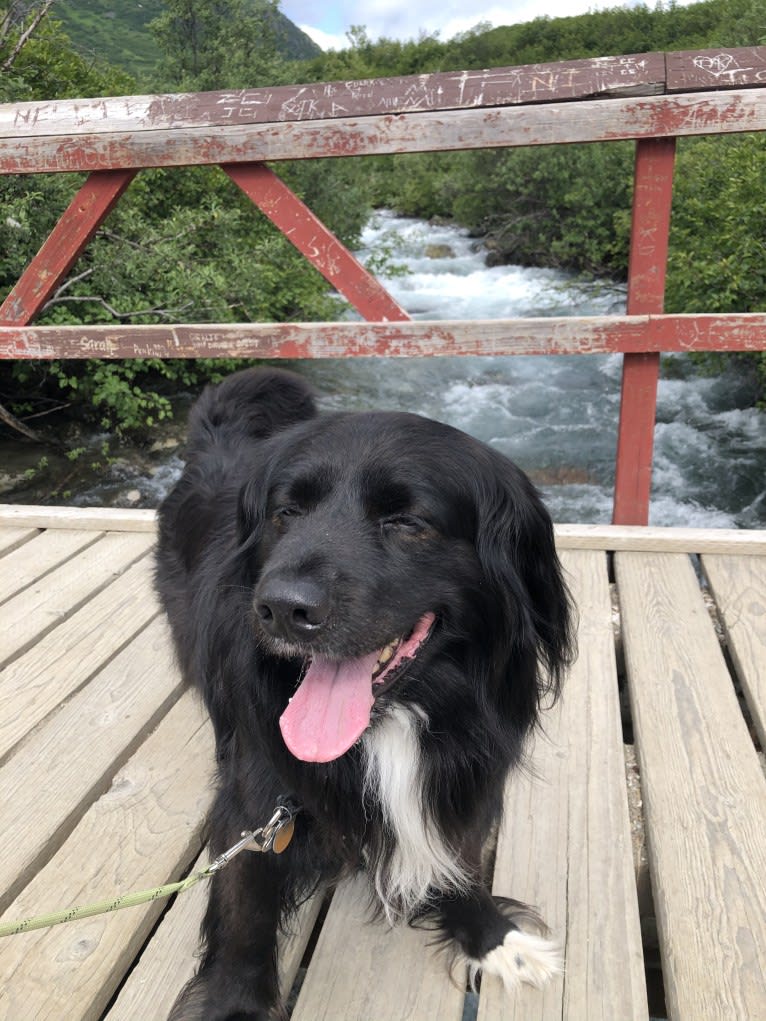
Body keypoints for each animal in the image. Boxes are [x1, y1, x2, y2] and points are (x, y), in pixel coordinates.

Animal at [156, 369, 576, 1021]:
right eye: (285, 512)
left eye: (406, 522)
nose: (281, 608)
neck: (390, 721)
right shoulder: (256, 806)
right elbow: (245, 915)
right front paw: (236, 1006)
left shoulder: (460, 777)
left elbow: (461, 860)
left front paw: (492, 939)